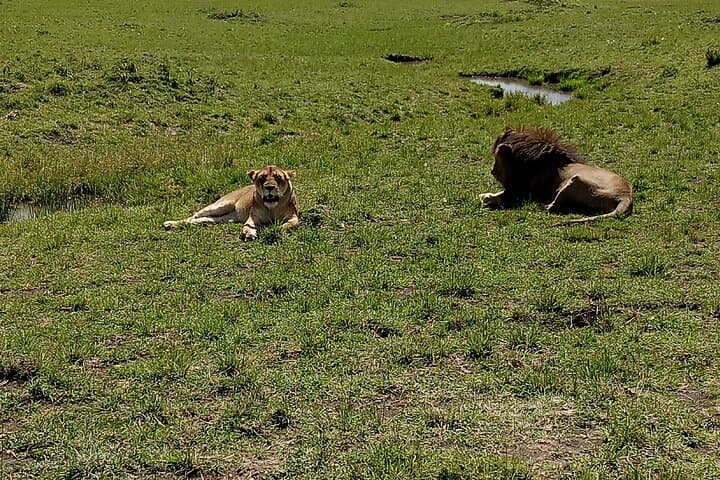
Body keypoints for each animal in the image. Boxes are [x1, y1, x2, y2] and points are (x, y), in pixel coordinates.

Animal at [163, 165, 300, 240]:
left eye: (278, 178)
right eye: (261, 178)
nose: (270, 187)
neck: (272, 208)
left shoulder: (293, 217)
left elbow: (289, 225)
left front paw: (278, 229)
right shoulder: (253, 218)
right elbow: (247, 226)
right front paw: (249, 233)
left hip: (223, 218)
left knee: (202, 219)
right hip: (220, 205)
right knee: (193, 216)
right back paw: (170, 223)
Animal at [480, 126, 633, 224]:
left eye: (496, 159)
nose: (492, 171)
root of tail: (626, 196)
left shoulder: (522, 193)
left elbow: (502, 197)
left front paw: (486, 199)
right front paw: (485, 195)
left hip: (575, 180)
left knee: (552, 208)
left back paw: (542, 206)